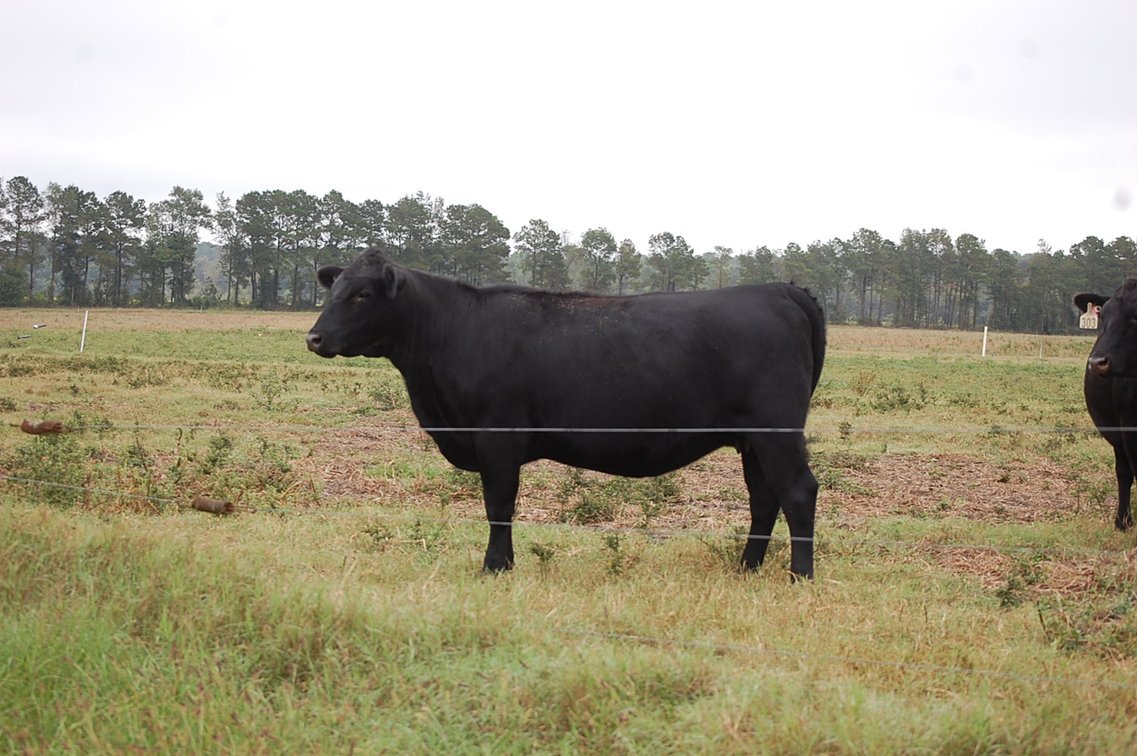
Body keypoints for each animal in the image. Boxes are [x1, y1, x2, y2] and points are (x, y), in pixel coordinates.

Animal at [307, 249, 826, 578]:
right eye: (334, 290)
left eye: (362, 295)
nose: (314, 337)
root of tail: (781, 290)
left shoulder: (497, 436)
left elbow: (499, 505)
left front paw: (495, 567)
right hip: (752, 439)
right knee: (764, 499)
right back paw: (747, 568)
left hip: (776, 431)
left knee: (797, 492)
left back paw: (800, 576)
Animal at [1075, 281, 1137, 530]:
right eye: (1104, 316)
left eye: (1136, 316)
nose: (1096, 361)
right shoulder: (1129, 426)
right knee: (1124, 473)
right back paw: (1123, 521)